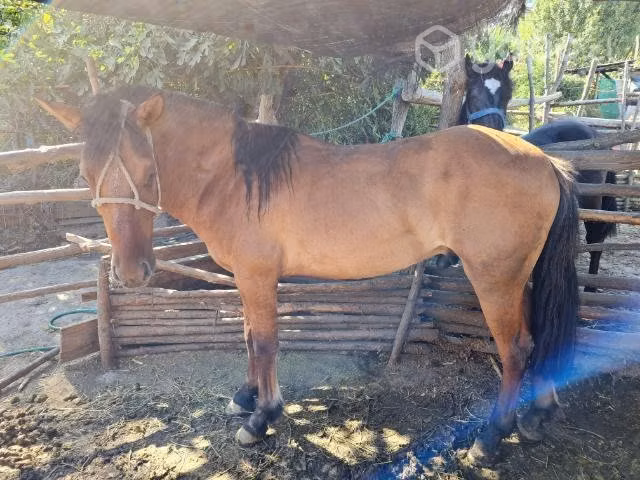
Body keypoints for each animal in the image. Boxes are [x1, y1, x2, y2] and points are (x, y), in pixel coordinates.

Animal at [37, 86, 579, 466]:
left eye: (149, 173)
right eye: (86, 175)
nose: (132, 272)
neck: (235, 178)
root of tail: (545, 161)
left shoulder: (257, 276)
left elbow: (265, 342)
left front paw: (261, 418)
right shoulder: (247, 279)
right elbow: (249, 336)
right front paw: (246, 398)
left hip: (494, 280)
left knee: (516, 349)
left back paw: (491, 437)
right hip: (518, 279)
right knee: (539, 336)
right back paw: (538, 415)